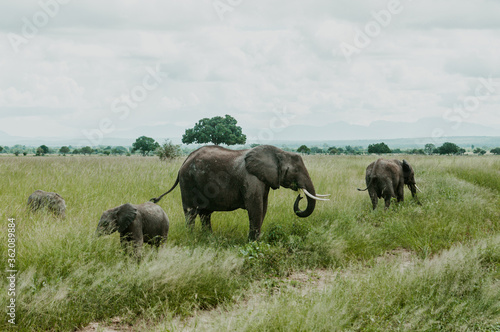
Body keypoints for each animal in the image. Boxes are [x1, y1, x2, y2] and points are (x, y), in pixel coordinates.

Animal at [150, 144, 330, 240]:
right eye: (295, 171)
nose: (300, 195)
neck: (278, 152)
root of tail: (184, 161)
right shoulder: (251, 179)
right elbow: (255, 207)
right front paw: (253, 243)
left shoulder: (263, 180)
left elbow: (263, 207)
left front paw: (257, 240)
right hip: (188, 181)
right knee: (191, 212)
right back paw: (192, 237)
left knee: (205, 213)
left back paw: (208, 238)